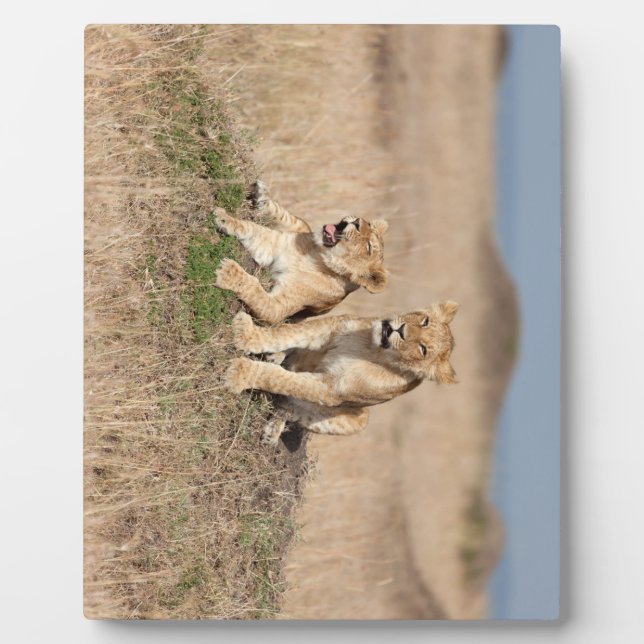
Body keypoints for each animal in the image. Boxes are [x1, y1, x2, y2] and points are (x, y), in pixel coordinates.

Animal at [214, 180, 389, 324]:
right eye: (367, 224)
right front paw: (224, 218)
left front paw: (228, 271)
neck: (316, 257)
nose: (357, 222)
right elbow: (250, 227)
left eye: (369, 247)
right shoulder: (276, 243)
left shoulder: (278, 310)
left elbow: (256, 291)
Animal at [224, 301, 459, 444]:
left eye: (423, 350)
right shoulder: (331, 326)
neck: (373, 350)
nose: (400, 330)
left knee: (288, 408)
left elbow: (283, 381)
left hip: (358, 421)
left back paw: (272, 430)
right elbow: (285, 333)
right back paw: (277, 356)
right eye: (425, 321)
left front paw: (239, 373)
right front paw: (245, 333)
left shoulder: (331, 388)